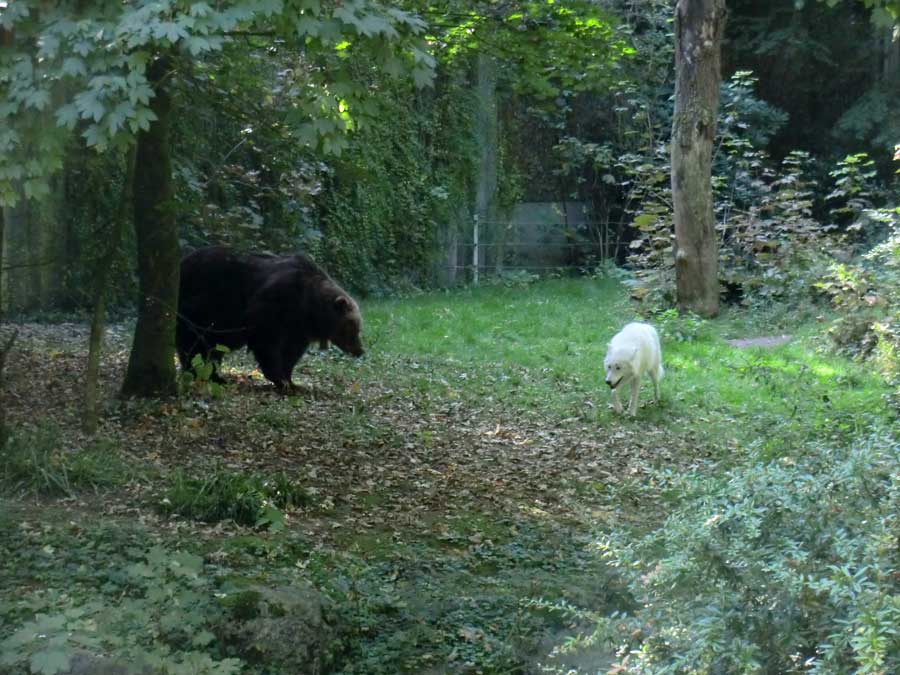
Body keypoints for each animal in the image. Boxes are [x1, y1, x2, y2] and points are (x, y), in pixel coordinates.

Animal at [178, 246, 364, 388]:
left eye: (357, 328)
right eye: (352, 327)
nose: (360, 350)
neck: (308, 304)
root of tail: (182, 261)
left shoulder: (298, 327)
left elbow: (291, 352)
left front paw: (290, 380)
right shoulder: (273, 305)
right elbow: (267, 341)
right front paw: (278, 378)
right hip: (203, 305)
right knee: (194, 343)